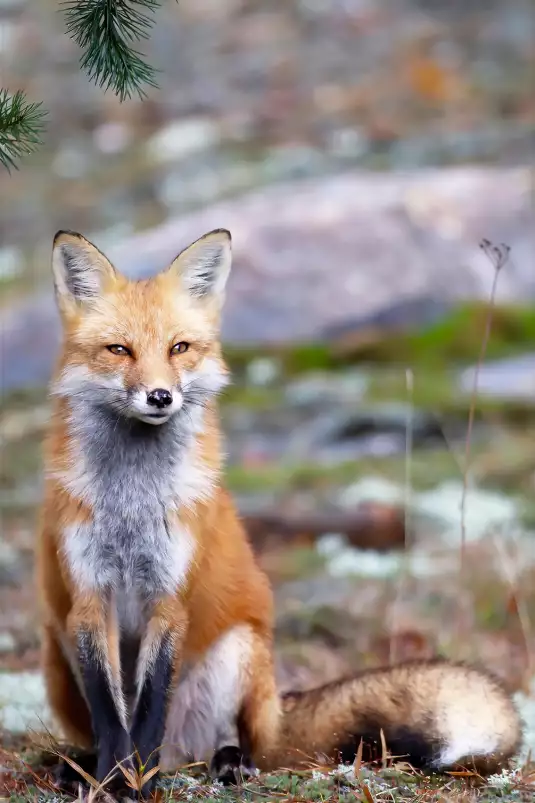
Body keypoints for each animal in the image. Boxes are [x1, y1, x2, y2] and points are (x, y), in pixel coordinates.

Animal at [38, 226, 524, 796]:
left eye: (179, 348)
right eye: (119, 349)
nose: (160, 397)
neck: (132, 505)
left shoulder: (170, 598)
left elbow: (149, 709)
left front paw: (139, 781)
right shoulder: (89, 600)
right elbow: (113, 717)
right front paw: (113, 780)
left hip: (239, 651)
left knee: (229, 742)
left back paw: (224, 763)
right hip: (58, 653)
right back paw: (77, 766)